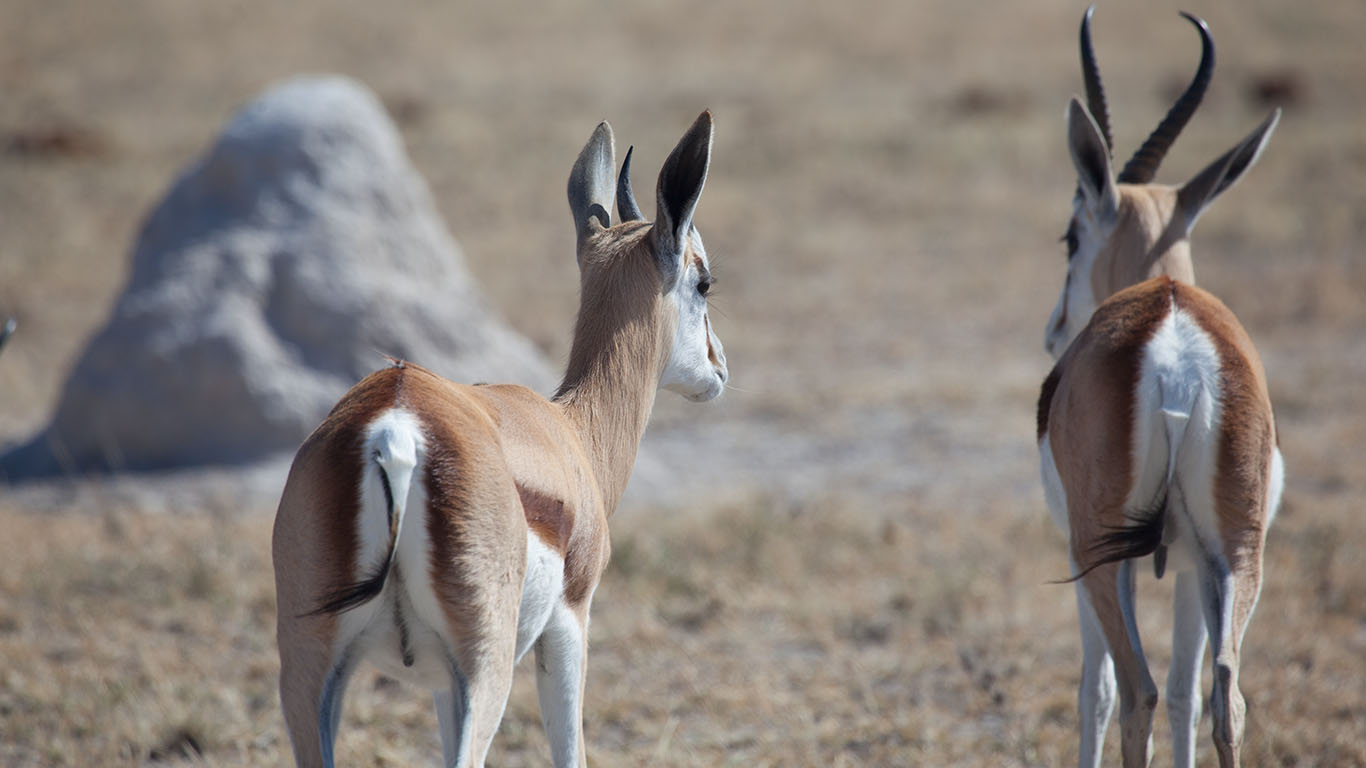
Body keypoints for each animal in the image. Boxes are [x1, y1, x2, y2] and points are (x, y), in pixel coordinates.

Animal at [271, 109, 732, 765]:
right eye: (704, 282)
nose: (720, 369)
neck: (572, 435)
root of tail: (393, 426)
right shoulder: (569, 622)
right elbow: (571, 752)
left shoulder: (440, 682)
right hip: (485, 668)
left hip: (310, 670)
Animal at [1038, 7, 1284, 765]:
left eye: (1070, 237)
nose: (1053, 330)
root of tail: (1175, 355)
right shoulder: (1187, 566)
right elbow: (1187, 694)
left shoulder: (1080, 550)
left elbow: (1097, 690)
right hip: (1235, 553)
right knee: (1225, 695)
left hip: (1104, 554)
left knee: (1135, 690)